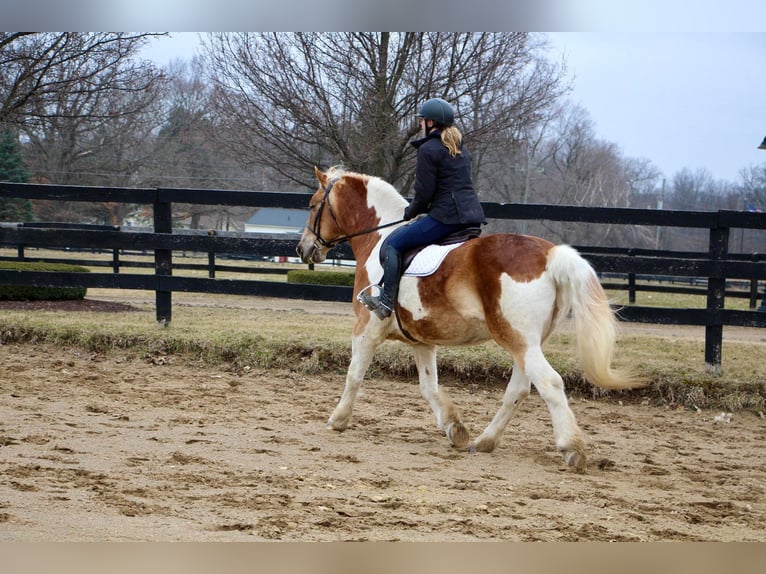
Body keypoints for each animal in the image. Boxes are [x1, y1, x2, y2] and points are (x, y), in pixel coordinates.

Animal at [296, 166, 644, 472]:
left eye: (312, 205)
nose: (303, 249)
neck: (380, 237)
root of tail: (549, 254)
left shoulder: (366, 328)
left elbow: (354, 374)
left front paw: (337, 419)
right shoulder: (421, 341)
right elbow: (429, 386)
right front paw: (454, 428)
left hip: (518, 340)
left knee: (550, 383)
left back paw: (571, 448)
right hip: (525, 344)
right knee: (519, 390)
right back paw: (485, 441)